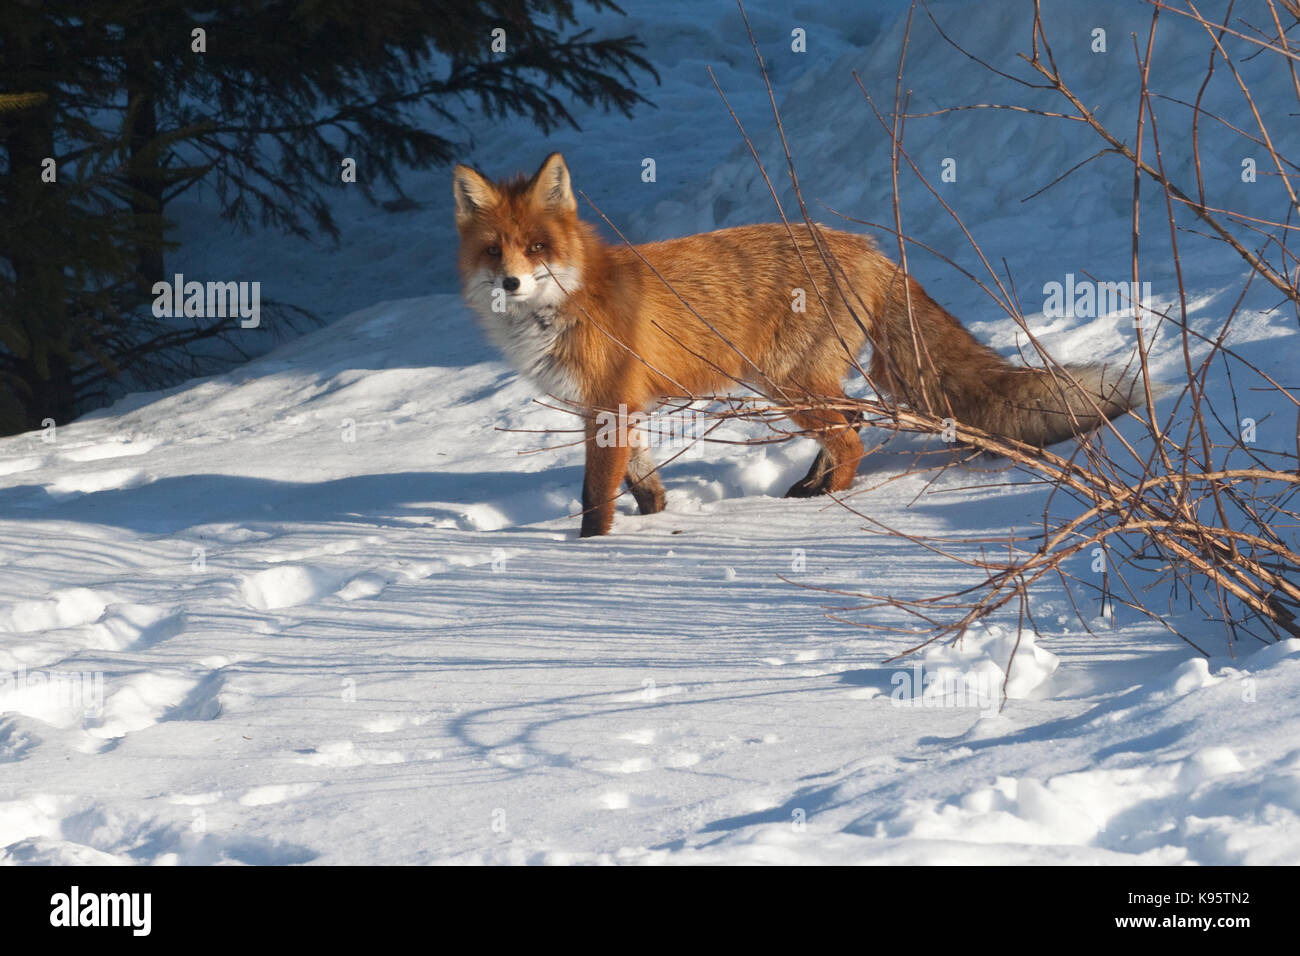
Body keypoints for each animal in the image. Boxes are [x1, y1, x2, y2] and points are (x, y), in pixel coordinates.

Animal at [453, 152, 1136, 537]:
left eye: (536, 247)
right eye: (494, 251)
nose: (511, 282)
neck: (564, 305)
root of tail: (871, 248)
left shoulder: (609, 405)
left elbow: (596, 497)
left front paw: (592, 553)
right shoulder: (617, 410)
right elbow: (643, 484)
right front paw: (656, 521)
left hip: (787, 384)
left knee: (851, 434)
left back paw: (828, 500)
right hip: (800, 384)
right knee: (853, 421)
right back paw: (812, 485)